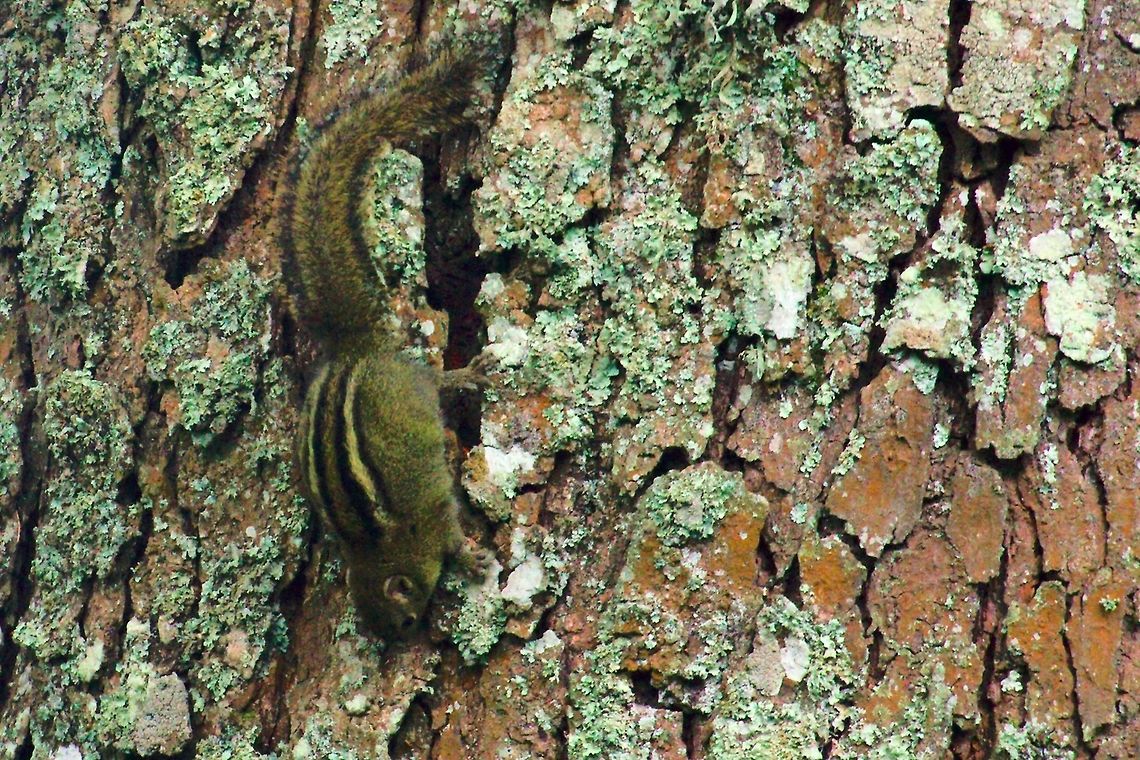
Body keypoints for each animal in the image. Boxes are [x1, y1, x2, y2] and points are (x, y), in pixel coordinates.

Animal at [280, 49, 489, 640]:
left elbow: (450, 533)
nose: (403, 640)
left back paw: (467, 373)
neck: (382, 548)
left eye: (402, 616)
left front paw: (469, 558)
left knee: (432, 378)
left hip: (410, 384)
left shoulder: (432, 516)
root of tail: (355, 350)